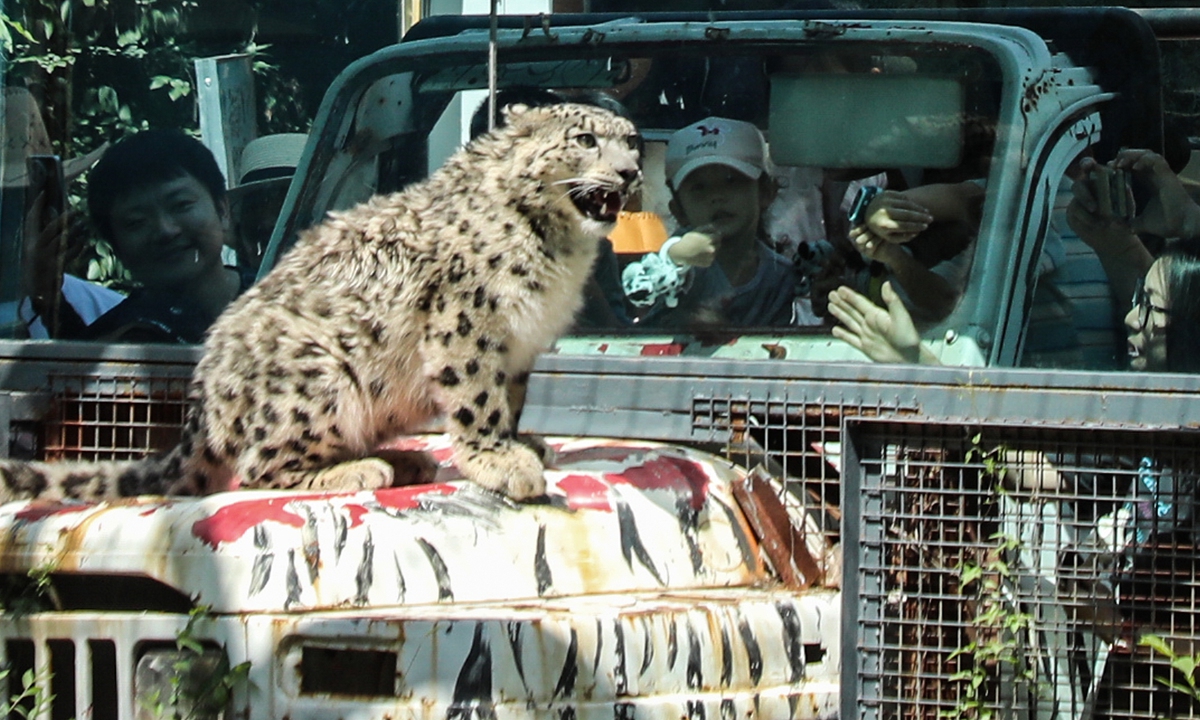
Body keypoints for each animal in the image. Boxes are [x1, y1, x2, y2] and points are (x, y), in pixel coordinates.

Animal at [0, 102, 642, 503]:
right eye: (585, 139)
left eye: (632, 139)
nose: (632, 172)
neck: (561, 250)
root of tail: (203, 403)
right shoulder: (467, 323)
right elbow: (477, 397)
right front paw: (498, 460)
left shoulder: (520, 343)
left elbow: (509, 397)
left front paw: (521, 442)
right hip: (319, 375)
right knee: (258, 467)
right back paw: (365, 468)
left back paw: (403, 460)